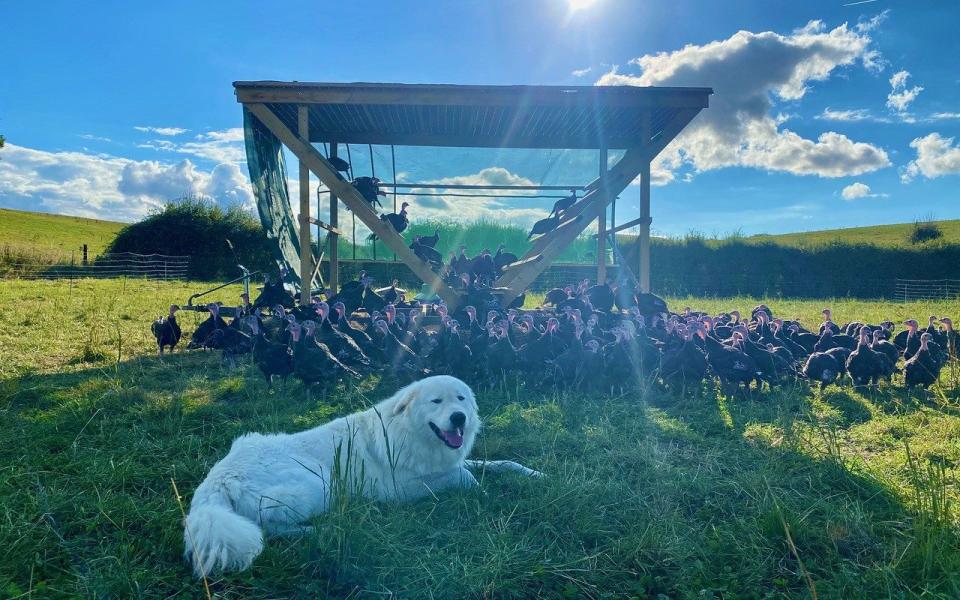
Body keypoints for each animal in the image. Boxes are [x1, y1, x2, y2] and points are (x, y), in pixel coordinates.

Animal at [181, 376, 540, 576]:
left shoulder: (447, 463)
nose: (459, 417)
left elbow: (497, 463)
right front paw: (483, 492)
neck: (409, 432)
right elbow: (464, 476)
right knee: (268, 528)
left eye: (461, 398)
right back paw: (319, 529)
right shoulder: (400, 489)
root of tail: (217, 480)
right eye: (436, 401)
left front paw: (532, 473)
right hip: (321, 481)